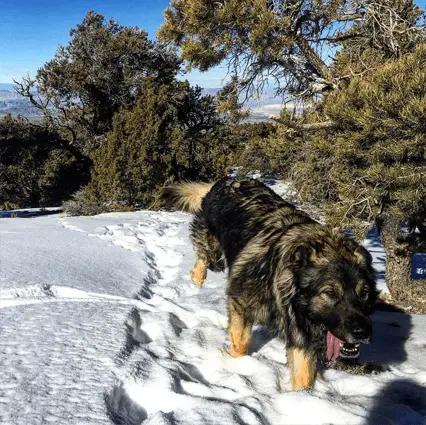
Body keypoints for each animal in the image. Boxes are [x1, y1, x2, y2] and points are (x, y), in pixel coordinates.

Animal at [163, 177, 376, 390]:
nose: (362, 332)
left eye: (364, 292)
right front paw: (236, 364)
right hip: (215, 256)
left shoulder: (301, 336)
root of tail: (227, 179)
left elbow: (304, 375)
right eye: (330, 293)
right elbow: (241, 342)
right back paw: (197, 278)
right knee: (204, 258)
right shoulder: (240, 304)